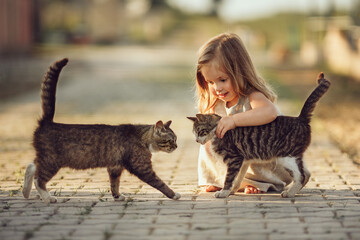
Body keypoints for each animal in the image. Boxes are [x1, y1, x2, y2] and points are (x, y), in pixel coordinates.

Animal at [22, 58, 180, 202]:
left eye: (176, 139)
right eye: (170, 140)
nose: (177, 146)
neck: (141, 137)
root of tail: (47, 122)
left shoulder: (115, 167)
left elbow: (114, 184)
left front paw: (117, 196)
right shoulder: (142, 168)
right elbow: (160, 183)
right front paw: (174, 194)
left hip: (46, 158)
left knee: (31, 166)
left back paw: (25, 192)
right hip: (52, 161)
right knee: (38, 179)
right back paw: (47, 197)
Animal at [187, 73, 330, 199]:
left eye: (200, 132)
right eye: (194, 133)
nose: (196, 140)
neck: (217, 129)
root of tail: (300, 119)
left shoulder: (234, 159)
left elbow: (229, 177)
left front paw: (224, 192)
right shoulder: (243, 161)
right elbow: (238, 178)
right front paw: (232, 190)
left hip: (286, 156)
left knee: (301, 175)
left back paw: (289, 193)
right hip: (294, 156)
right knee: (306, 173)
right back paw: (293, 190)